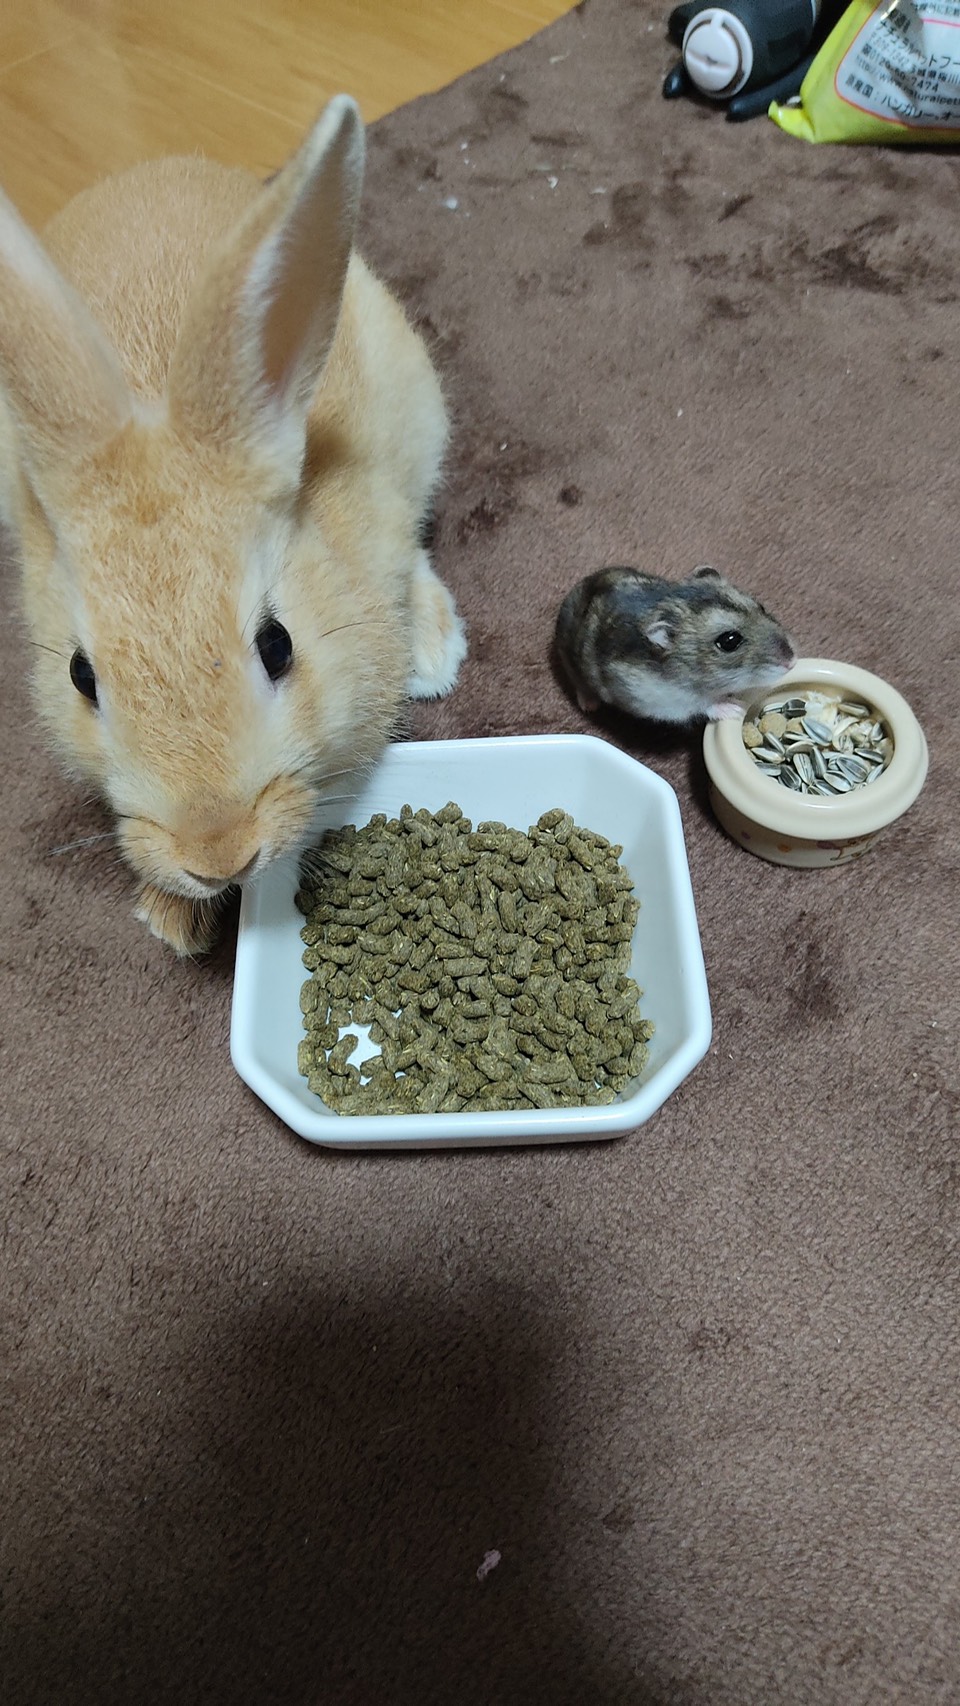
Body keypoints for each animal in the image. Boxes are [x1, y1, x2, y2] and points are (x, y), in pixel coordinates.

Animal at [555, 562, 798, 716]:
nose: (792, 662)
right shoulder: (658, 699)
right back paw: (589, 704)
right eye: (729, 641)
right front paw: (735, 708)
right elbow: (701, 705)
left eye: (761, 607)